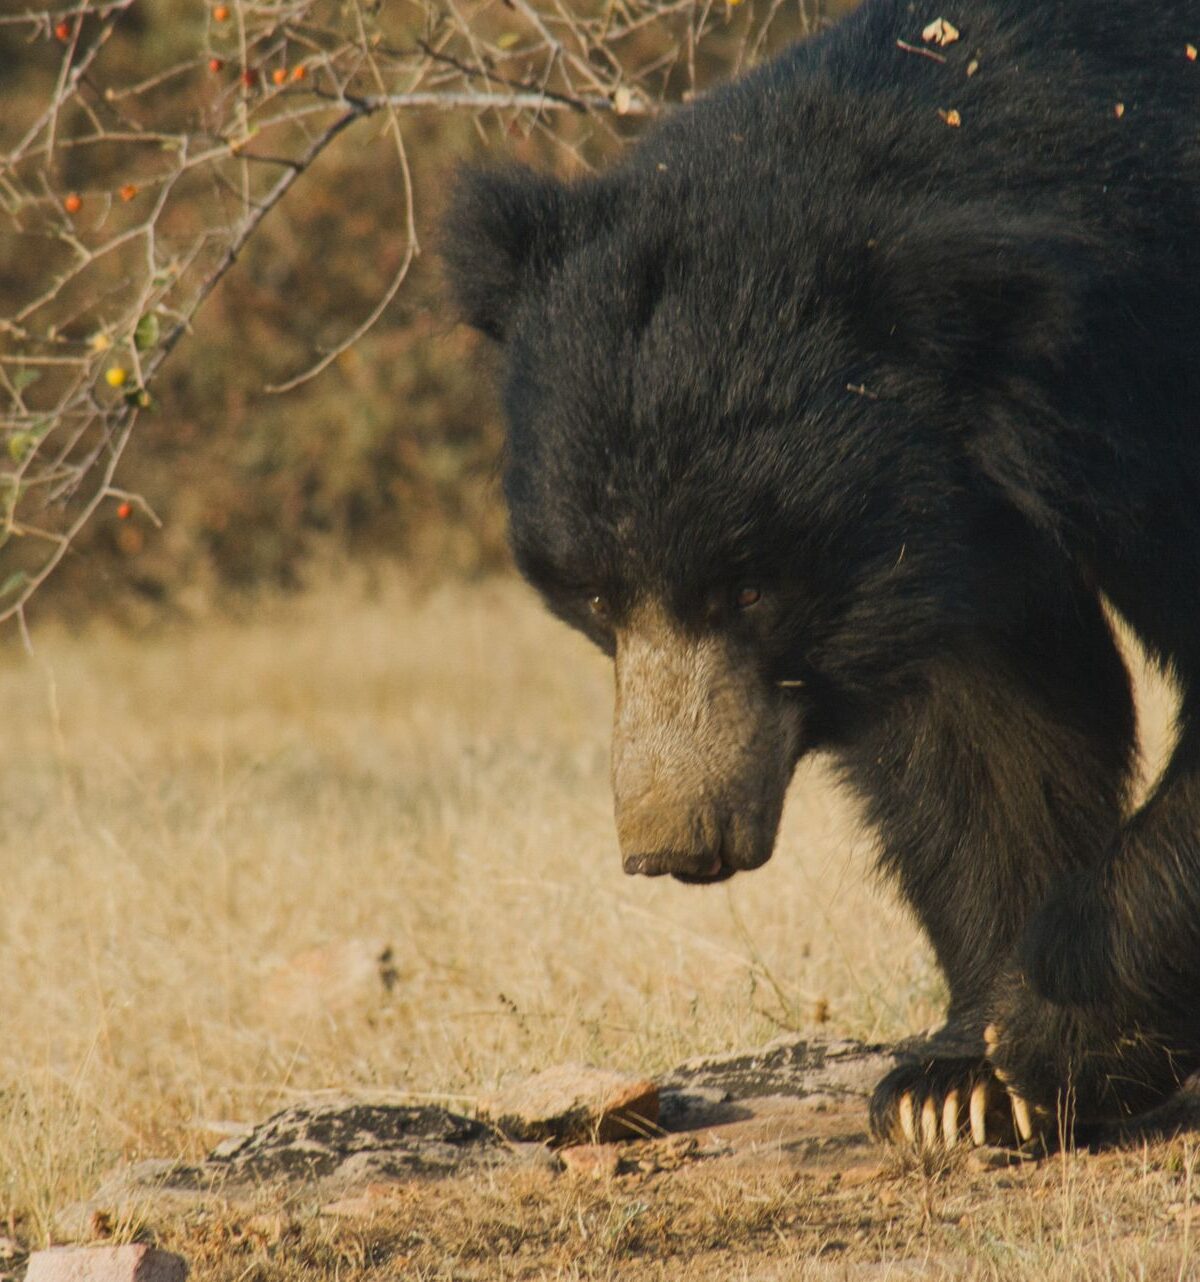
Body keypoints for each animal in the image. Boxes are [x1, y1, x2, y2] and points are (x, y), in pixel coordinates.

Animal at [442, 0, 1200, 1148]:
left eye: (752, 587)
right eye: (598, 594)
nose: (676, 843)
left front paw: (1038, 1041)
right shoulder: (961, 530)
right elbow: (990, 743)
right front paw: (958, 1086)